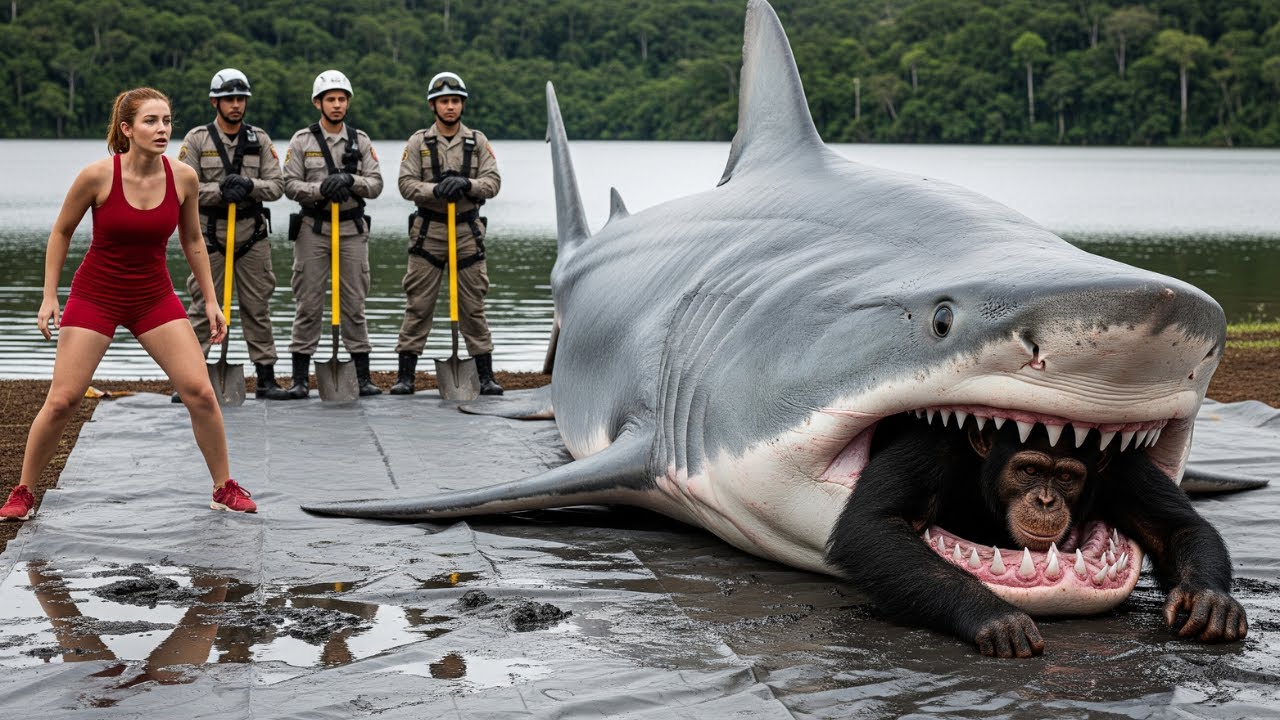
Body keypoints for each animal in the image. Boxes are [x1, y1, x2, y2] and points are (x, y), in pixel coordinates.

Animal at [826, 413, 1248, 658]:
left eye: (1066, 477)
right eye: (1029, 470)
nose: (1045, 500)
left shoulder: (1124, 467)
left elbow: (1176, 527)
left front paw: (1210, 601)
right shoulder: (928, 448)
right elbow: (874, 525)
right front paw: (994, 615)